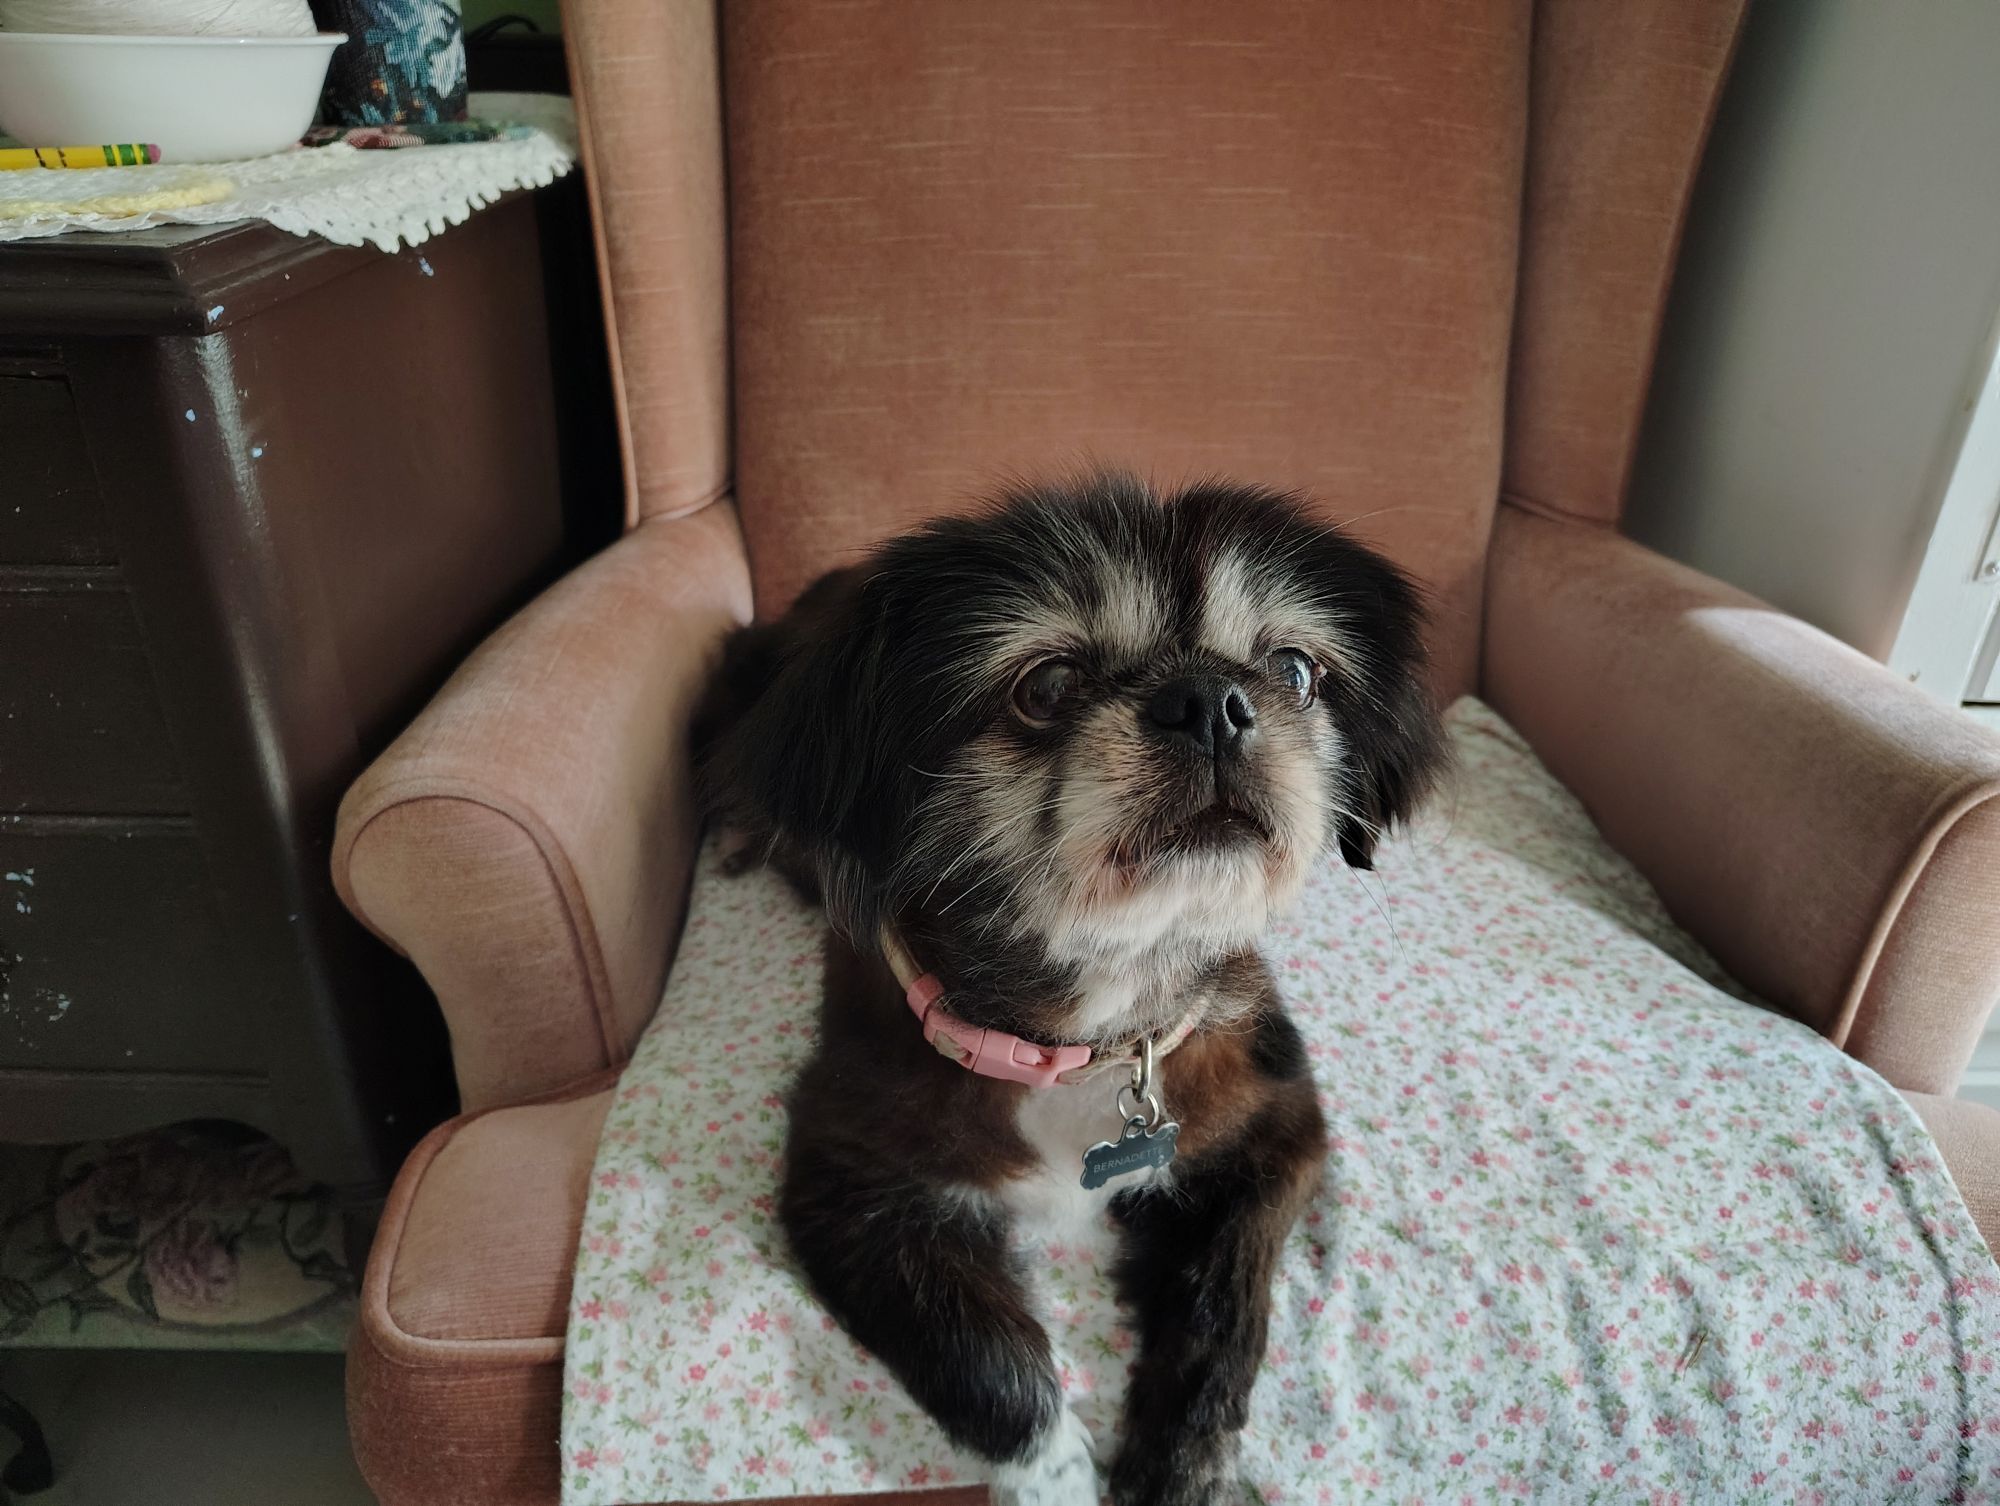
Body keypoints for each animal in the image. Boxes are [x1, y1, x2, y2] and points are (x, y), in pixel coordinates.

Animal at [699, 472, 1443, 1506]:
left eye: (1295, 672)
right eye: (1044, 688)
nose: (1210, 700)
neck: (1086, 1036)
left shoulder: (1278, 1129)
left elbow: (1224, 1311)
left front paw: (1181, 1465)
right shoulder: (845, 1184)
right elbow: (991, 1365)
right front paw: (1057, 1476)